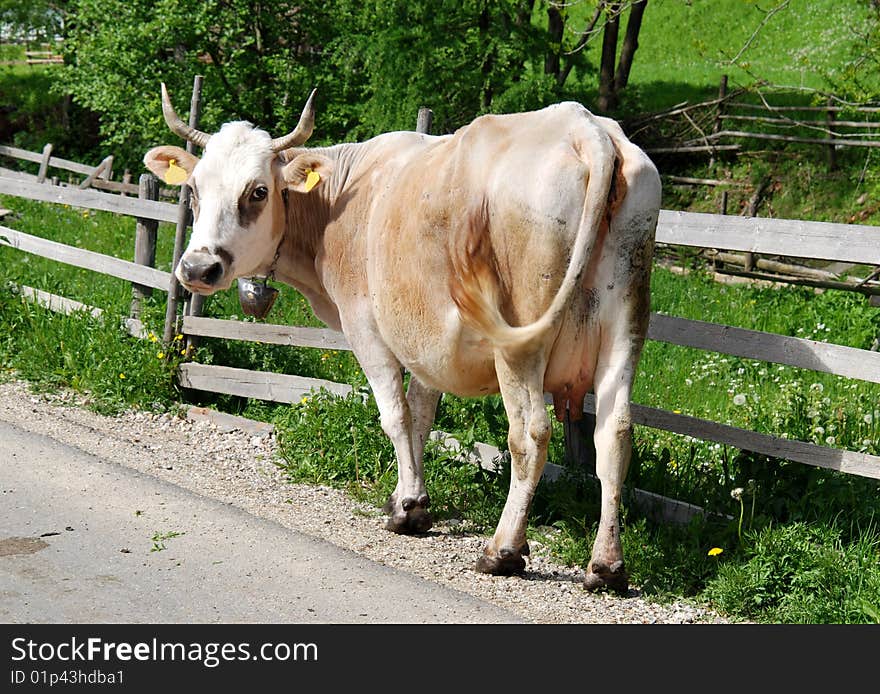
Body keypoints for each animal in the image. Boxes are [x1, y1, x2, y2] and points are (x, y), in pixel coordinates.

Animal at [144, 84, 656, 596]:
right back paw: (606, 565)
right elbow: (422, 415)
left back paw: (503, 550)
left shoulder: (365, 327)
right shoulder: (427, 340)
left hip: (521, 342)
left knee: (530, 435)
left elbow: (395, 416)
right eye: (194, 189)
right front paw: (411, 498)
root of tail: (586, 129)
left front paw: (408, 509)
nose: (198, 268)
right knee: (615, 435)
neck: (340, 202)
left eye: (258, 191)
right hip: (626, 323)